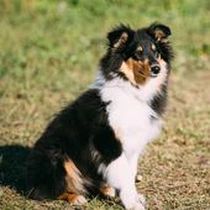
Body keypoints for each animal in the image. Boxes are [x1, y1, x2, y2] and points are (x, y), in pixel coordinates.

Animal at [26, 23, 173, 210]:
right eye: (138, 53)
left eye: (156, 52)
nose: (156, 69)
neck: (132, 91)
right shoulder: (108, 142)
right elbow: (124, 176)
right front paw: (132, 204)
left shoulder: (133, 144)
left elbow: (129, 173)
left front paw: (133, 198)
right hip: (57, 156)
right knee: (43, 191)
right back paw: (76, 197)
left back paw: (106, 189)